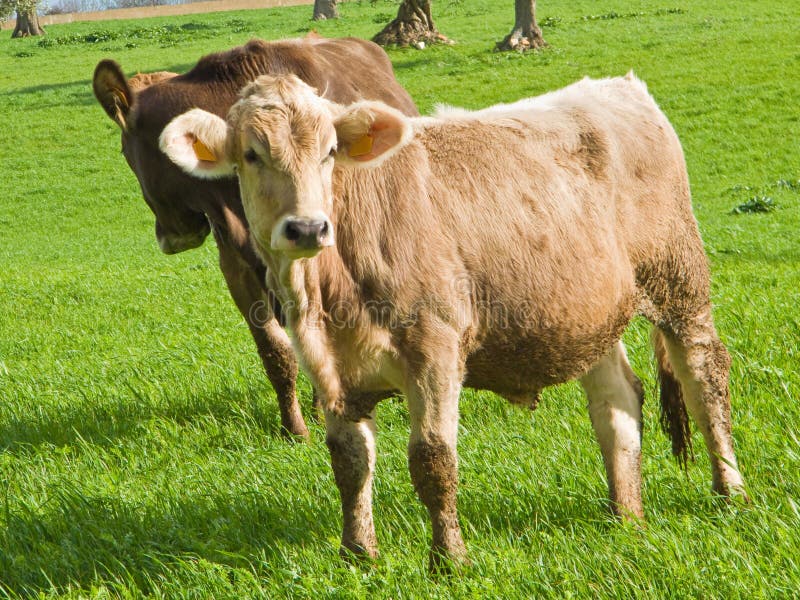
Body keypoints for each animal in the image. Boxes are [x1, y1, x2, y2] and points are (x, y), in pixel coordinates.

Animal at [159, 73, 748, 567]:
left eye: (329, 153)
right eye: (251, 154)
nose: (307, 228)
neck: (328, 296)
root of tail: (617, 86)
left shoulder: (434, 347)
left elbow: (432, 459)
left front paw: (449, 559)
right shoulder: (329, 369)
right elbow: (349, 462)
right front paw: (358, 553)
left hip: (680, 283)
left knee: (704, 378)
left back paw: (730, 491)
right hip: (593, 312)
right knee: (617, 402)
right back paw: (624, 512)